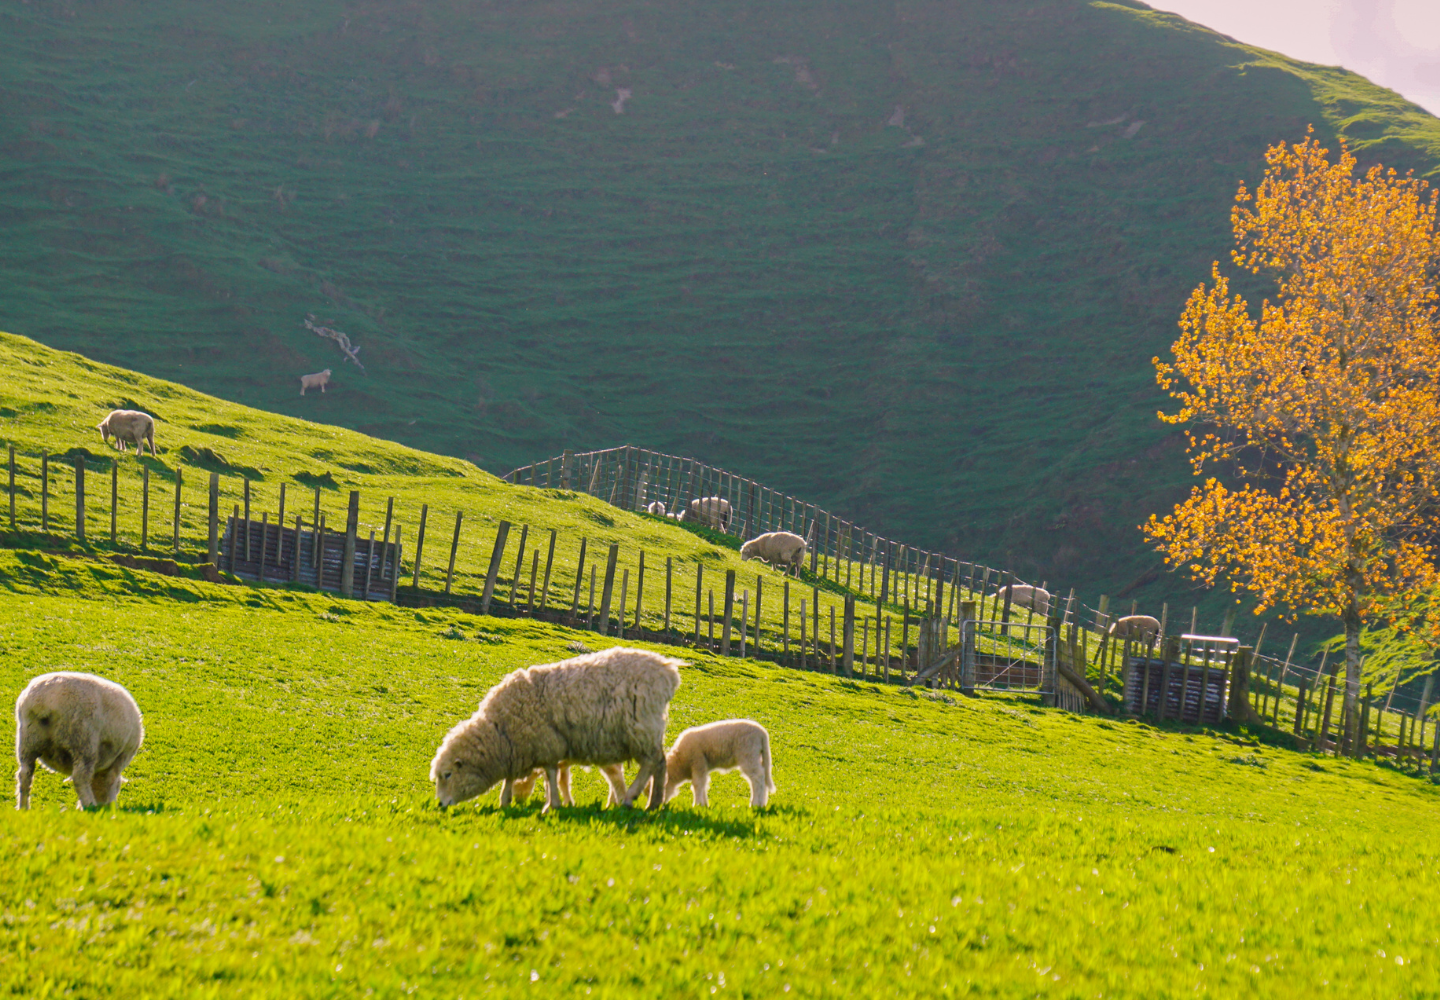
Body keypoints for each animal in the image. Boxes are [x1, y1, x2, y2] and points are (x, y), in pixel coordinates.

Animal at [15, 672, 144, 810]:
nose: (104, 806)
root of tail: (44, 702)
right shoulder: (122, 756)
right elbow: (111, 780)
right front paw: (112, 805)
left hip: (28, 740)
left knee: (25, 774)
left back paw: (23, 807)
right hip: (83, 740)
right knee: (80, 777)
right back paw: (90, 806)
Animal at [431, 646, 681, 812]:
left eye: (447, 775)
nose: (441, 804)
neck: (500, 731)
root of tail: (668, 671)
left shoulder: (546, 743)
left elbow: (550, 774)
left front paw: (553, 805)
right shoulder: (521, 749)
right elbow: (516, 778)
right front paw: (506, 800)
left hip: (640, 727)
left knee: (652, 762)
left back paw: (633, 798)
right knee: (659, 763)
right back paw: (654, 803)